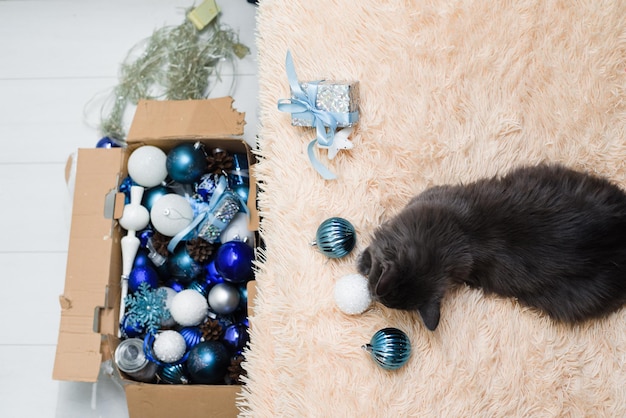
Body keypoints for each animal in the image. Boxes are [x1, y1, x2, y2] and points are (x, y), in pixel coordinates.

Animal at [358, 163, 624, 330]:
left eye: (382, 300)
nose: (371, 294)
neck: (456, 238)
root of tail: (614, 239)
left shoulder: (425, 196)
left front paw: (362, 262)